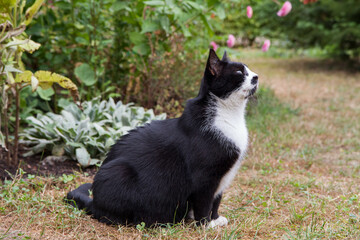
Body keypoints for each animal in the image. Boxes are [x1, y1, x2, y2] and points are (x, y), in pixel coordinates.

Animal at [66, 49, 258, 228]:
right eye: (239, 72)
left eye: (248, 69)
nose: (256, 77)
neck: (230, 115)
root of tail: (95, 202)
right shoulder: (205, 177)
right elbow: (205, 202)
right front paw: (205, 224)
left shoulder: (223, 177)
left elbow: (217, 200)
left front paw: (216, 219)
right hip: (118, 171)